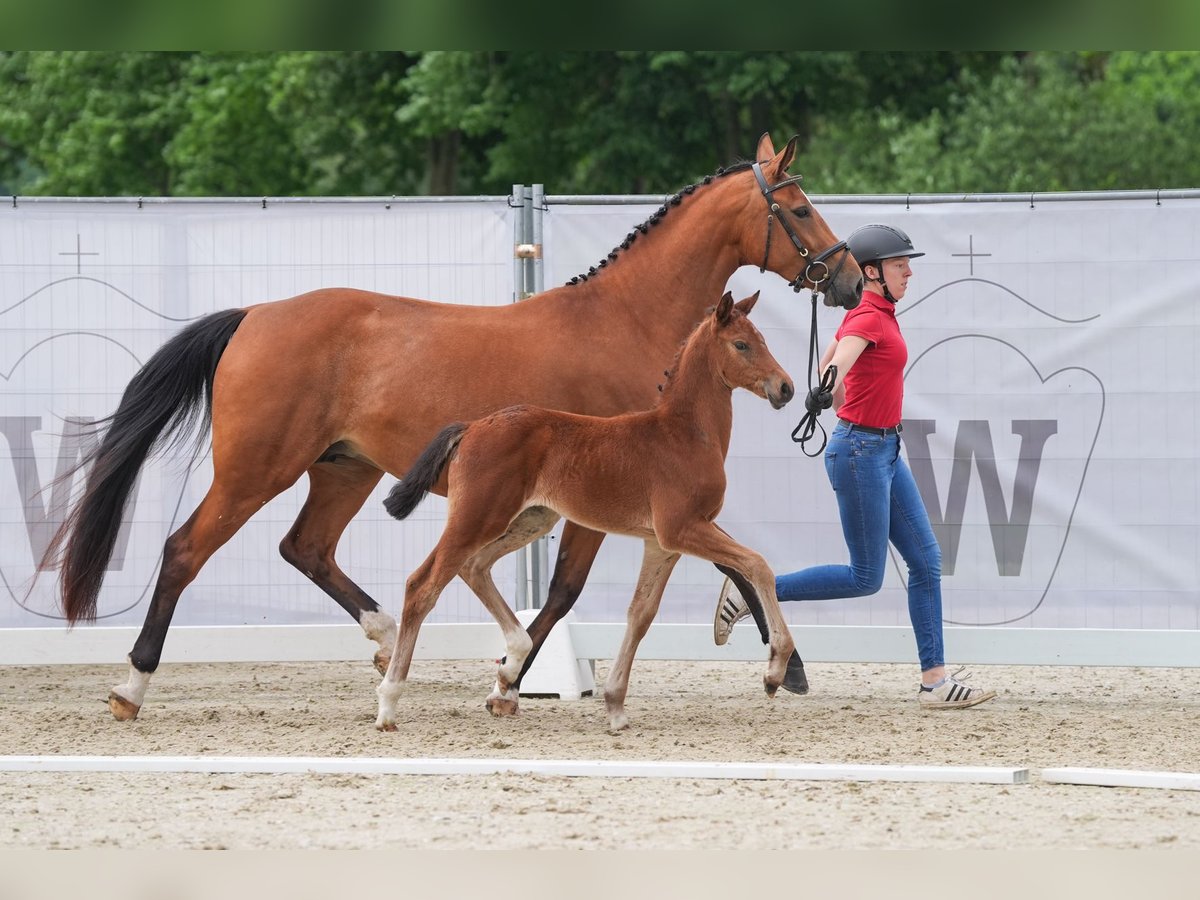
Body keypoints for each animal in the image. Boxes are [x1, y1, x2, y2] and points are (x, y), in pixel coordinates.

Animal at [379, 292, 792, 734]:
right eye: (741, 345)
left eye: (762, 339)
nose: (785, 387)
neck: (684, 435)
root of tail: (473, 427)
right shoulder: (682, 529)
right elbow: (758, 564)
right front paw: (774, 672)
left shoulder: (661, 544)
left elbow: (641, 614)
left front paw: (615, 706)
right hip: (477, 517)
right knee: (422, 586)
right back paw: (388, 704)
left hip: (529, 520)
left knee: (473, 567)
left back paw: (510, 669)